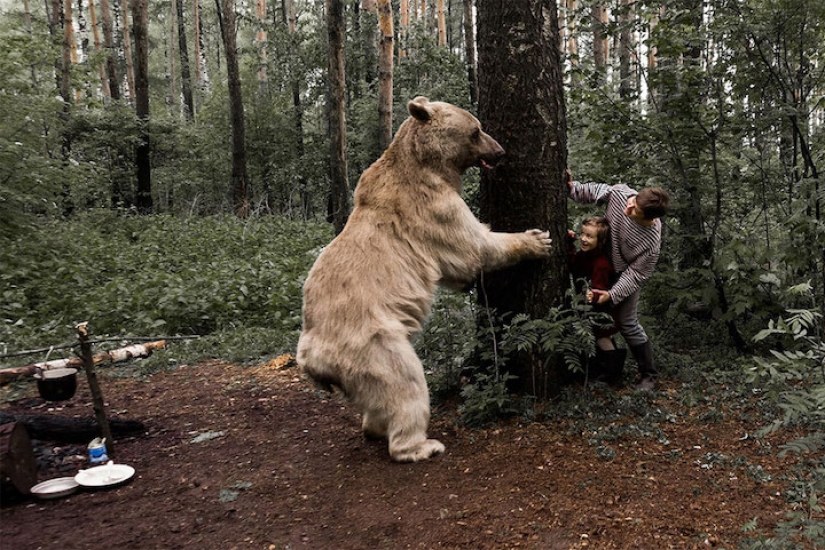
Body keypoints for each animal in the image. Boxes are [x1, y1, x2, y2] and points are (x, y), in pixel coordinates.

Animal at [296, 97, 552, 462]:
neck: (426, 165)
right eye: (476, 130)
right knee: (405, 383)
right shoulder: (431, 208)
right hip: (372, 342)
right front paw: (536, 239)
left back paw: (374, 427)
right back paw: (420, 445)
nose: (500, 151)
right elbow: (474, 247)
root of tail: (310, 359)